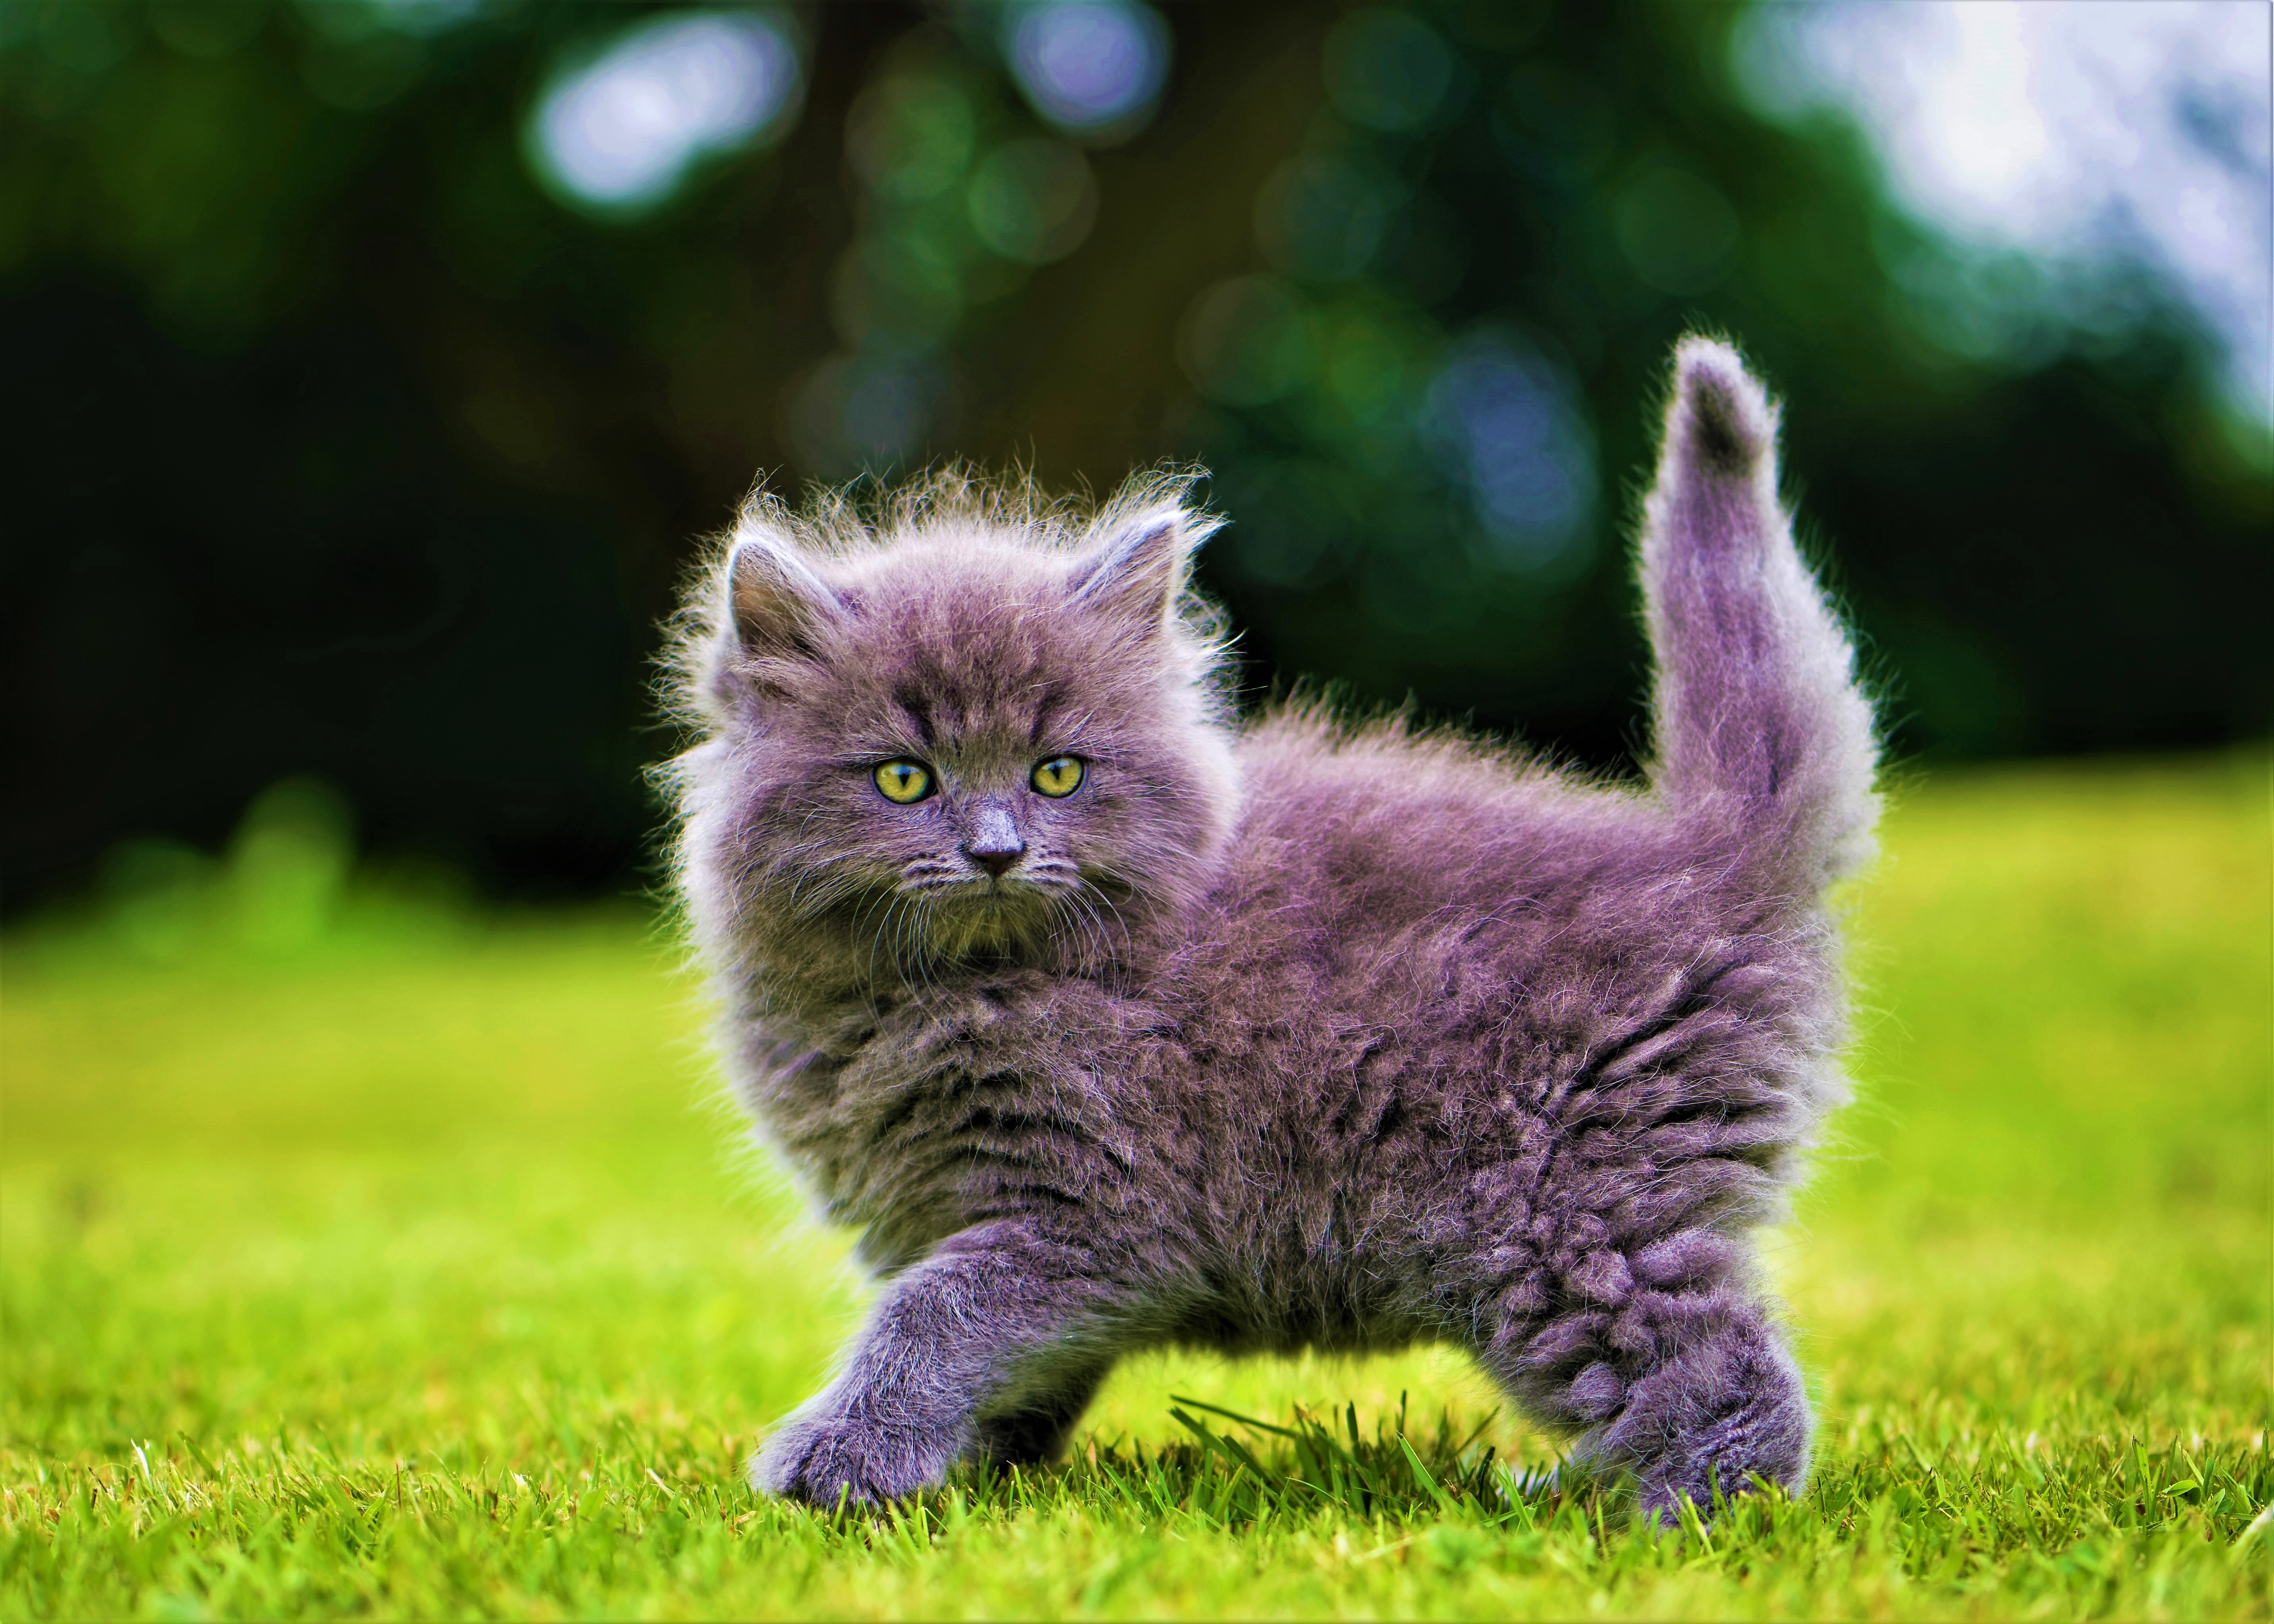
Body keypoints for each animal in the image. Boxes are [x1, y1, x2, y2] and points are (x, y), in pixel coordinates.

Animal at [664, 334, 1873, 1510]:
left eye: (1056, 771)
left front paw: (836, 1467)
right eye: (905, 778)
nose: (995, 850)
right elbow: (1008, 1357)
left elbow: (934, 1315)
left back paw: (1666, 1517)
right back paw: (1565, 1490)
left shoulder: (1097, 1204)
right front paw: (975, 1470)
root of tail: (1709, 848)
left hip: (1559, 1214)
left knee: (1728, 1378)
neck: (955, 991)